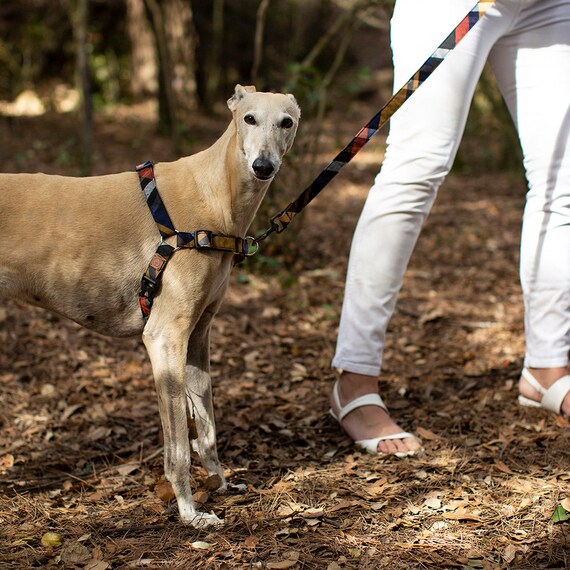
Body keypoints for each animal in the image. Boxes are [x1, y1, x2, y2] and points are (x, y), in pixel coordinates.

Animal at [0, 83, 300, 524]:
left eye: (287, 122)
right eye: (249, 118)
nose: (263, 166)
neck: (216, 196)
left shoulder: (198, 337)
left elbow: (207, 431)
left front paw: (221, 485)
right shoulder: (164, 338)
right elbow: (177, 449)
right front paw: (190, 513)